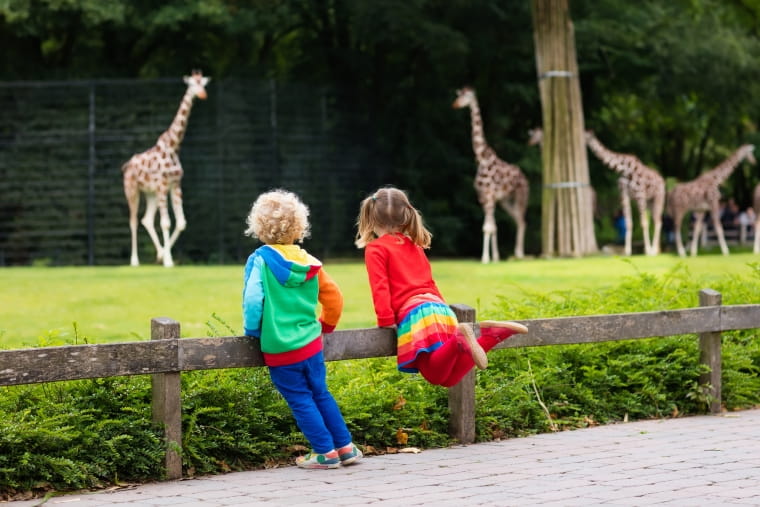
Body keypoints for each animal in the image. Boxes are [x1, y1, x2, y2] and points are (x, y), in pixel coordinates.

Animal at [122, 72, 211, 270]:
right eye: (192, 84)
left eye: (203, 84)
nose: (203, 95)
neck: (173, 147)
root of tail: (127, 166)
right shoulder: (163, 184)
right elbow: (166, 223)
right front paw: (168, 261)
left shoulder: (175, 185)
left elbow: (181, 223)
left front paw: (164, 256)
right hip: (133, 190)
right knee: (133, 221)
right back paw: (134, 261)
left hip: (151, 193)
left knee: (146, 219)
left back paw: (159, 254)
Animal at [454, 86, 524, 262]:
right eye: (459, 95)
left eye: (467, 96)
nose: (455, 105)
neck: (482, 157)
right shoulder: (484, 197)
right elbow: (491, 226)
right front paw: (494, 257)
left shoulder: (490, 195)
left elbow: (489, 227)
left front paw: (486, 258)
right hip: (506, 201)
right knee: (517, 220)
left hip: (520, 196)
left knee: (521, 221)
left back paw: (519, 253)